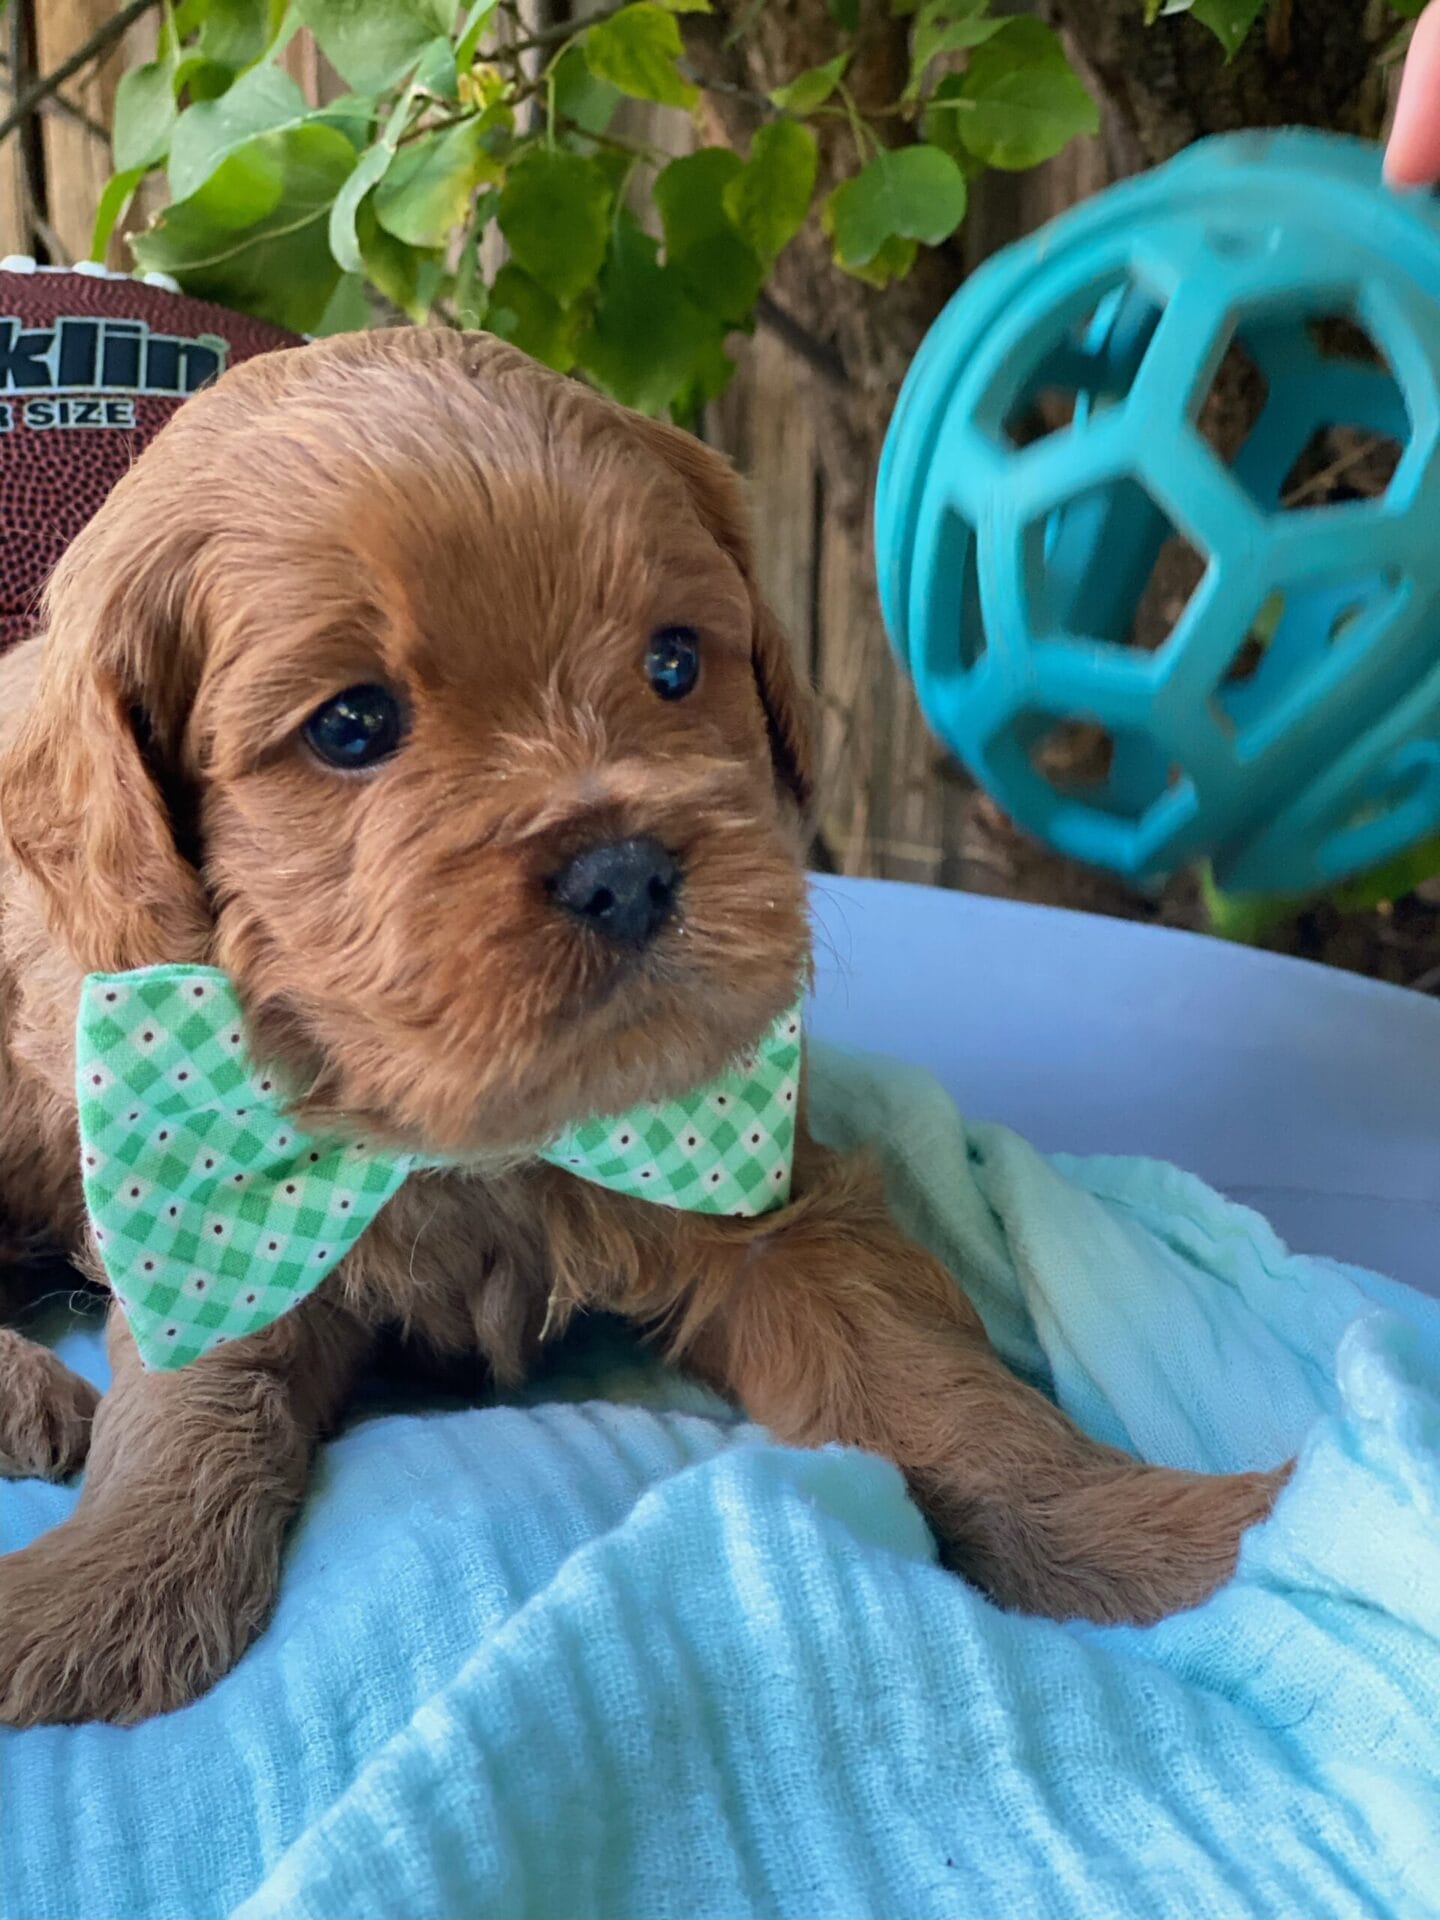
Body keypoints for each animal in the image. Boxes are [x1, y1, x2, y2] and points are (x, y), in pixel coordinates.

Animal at [0, 329, 1282, 1726]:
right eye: (350, 724)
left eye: (674, 663)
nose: (625, 873)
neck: (469, 1138)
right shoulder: (208, 1230)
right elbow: (198, 1401)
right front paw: (100, 1599)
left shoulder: (774, 1205)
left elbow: (927, 1379)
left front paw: (1164, 1543)